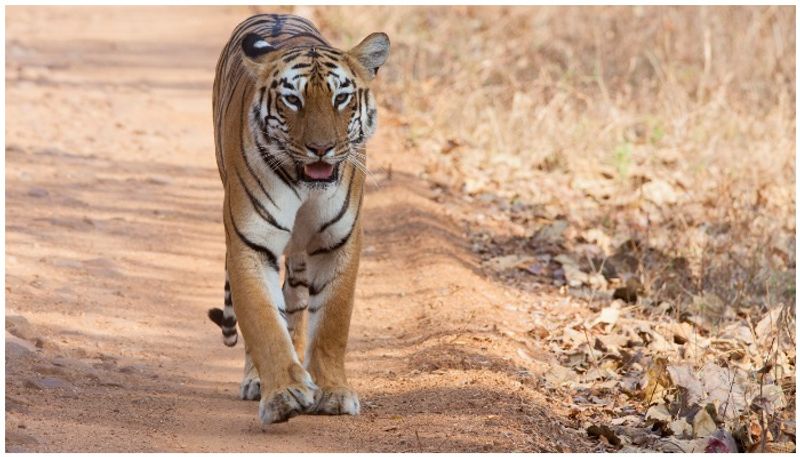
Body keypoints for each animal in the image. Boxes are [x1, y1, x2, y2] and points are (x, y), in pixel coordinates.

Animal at [206, 15, 390, 428]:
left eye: (341, 98)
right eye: (293, 99)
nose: (321, 148)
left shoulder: (339, 241)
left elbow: (332, 323)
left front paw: (333, 392)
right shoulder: (249, 242)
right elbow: (262, 321)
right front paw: (283, 395)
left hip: (302, 258)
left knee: (295, 304)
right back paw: (260, 380)